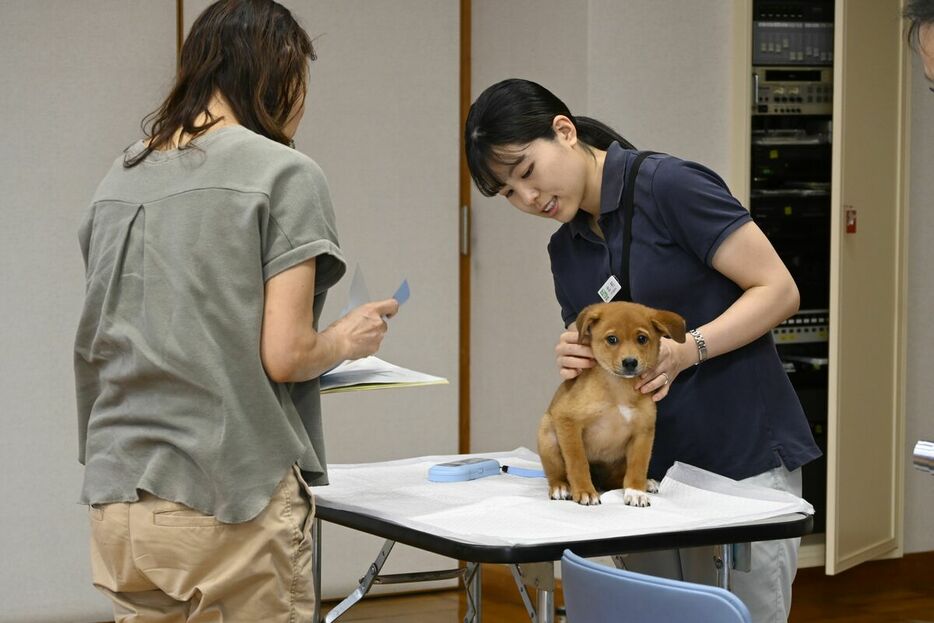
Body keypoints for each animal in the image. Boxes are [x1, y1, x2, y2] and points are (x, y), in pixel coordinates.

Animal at [540, 302, 688, 508]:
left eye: (642, 339)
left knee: (619, 479)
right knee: (556, 473)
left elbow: (638, 466)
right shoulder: (568, 421)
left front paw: (636, 491)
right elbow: (578, 463)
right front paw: (584, 491)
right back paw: (561, 486)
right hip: (547, 435)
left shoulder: (643, 432)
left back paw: (645, 483)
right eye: (612, 339)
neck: (618, 389)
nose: (630, 362)